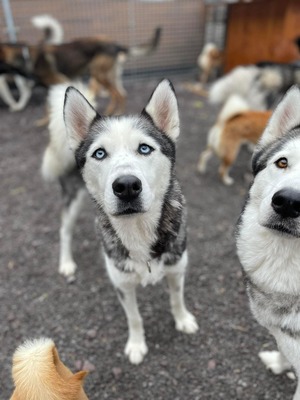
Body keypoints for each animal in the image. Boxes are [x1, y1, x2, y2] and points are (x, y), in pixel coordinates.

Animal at [63, 79, 198, 364]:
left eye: (144, 148)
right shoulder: (122, 284)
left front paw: (182, 320)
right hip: (73, 200)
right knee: (64, 230)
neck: (138, 230)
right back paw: (66, 262)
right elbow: (134, 317)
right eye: (99, 153)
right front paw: (136, 345)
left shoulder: (177, 267)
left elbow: (177, 299)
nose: (126, 186)